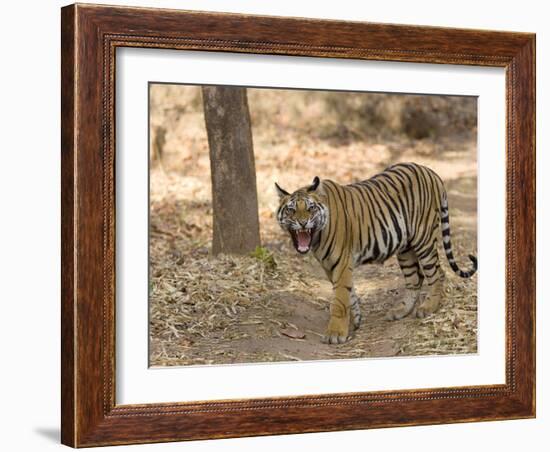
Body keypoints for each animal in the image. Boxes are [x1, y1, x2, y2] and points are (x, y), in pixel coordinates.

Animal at [276, 164, 478, 344]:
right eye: (291, 210)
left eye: (310, 208)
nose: (303, 223)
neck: (317, 237)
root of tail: (430, 171)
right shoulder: (330, 266)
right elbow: (349, 293)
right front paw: (356, 321)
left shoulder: (341, 263)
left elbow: (340, 299)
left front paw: (335, 334)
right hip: (405, 248)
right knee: (415, 278)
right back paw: (400, 311)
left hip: (424, 238)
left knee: (437, 273)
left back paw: (428, 308)